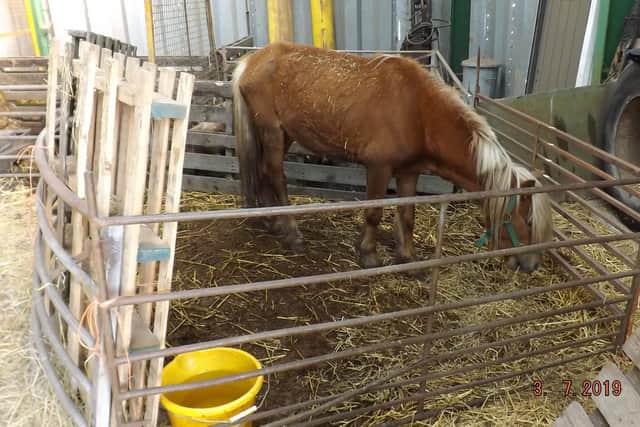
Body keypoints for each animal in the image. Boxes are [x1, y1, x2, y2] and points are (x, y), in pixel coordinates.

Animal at [231, 42, 553, 273]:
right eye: (528, 221)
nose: (531, 265)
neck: (418, 111)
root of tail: (252, 61)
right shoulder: (379, 168)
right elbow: (374, 212)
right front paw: (368, 255)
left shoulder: (408, 172)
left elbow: (407, 215)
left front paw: (407, 258)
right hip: (273, 133)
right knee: (276, 176)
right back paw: (291, 232)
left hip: (282, 135)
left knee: (263, 171)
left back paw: (270, 222)